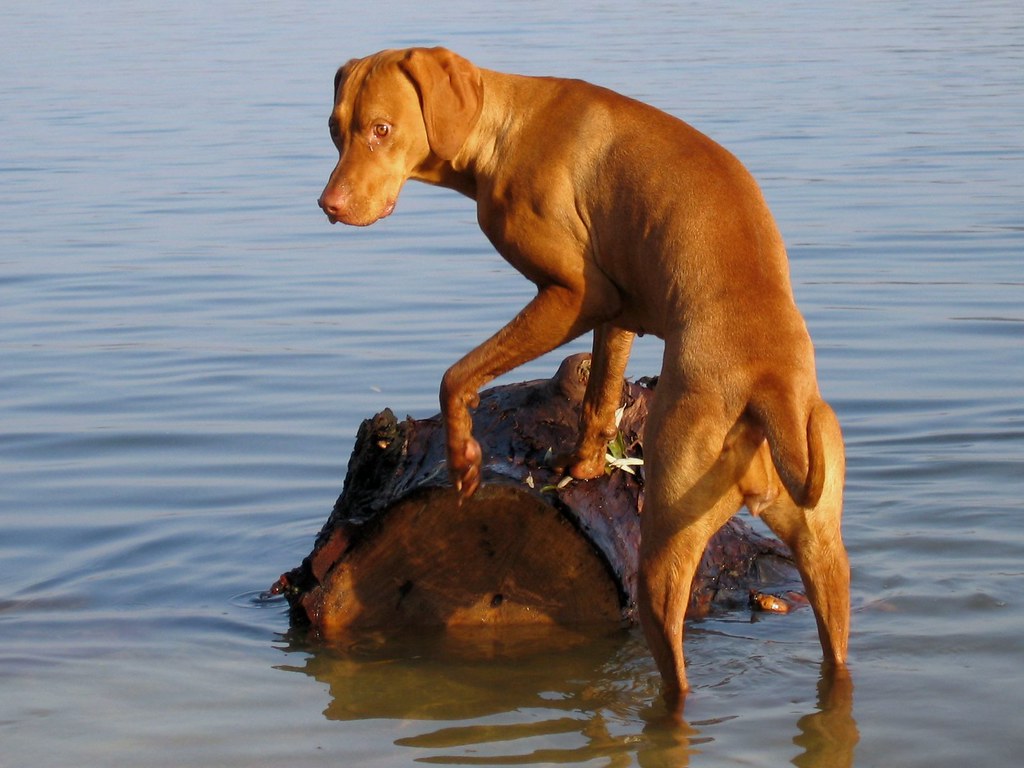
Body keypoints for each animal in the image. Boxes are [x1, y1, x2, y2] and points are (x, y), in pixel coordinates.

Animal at [315, 48, 851, 720]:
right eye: (335, 130)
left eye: (381, 129)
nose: (328, 205)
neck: (506, 125)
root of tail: (767, 389)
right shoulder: (615, 313)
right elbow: (599, 398)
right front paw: (584, 466)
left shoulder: (576, 292)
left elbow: (456, 375)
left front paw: (465, 459)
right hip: (824, 552)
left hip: (663, 556)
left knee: (675, 681)